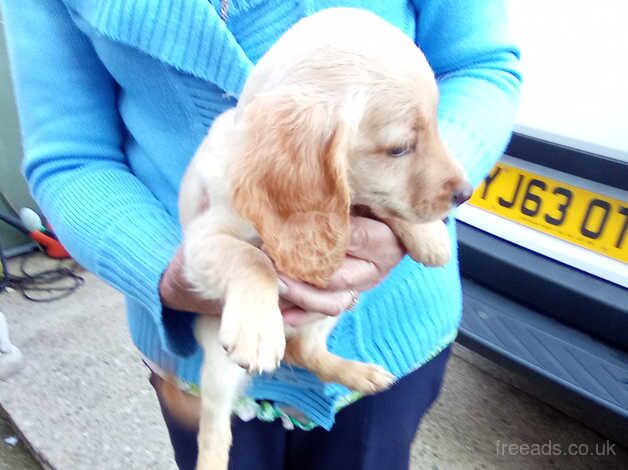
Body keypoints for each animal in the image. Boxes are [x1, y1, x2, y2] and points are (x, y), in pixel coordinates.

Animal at [177, 8, 472, 470]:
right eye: (400, 148)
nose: (466, 193)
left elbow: (373, 203)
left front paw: (429, 239)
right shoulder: (201, 243)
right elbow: (252, 260)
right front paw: (259, 328)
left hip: (329, 312)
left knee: (308, 353)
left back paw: (359, 373)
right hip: (221, 367)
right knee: (215, 430)